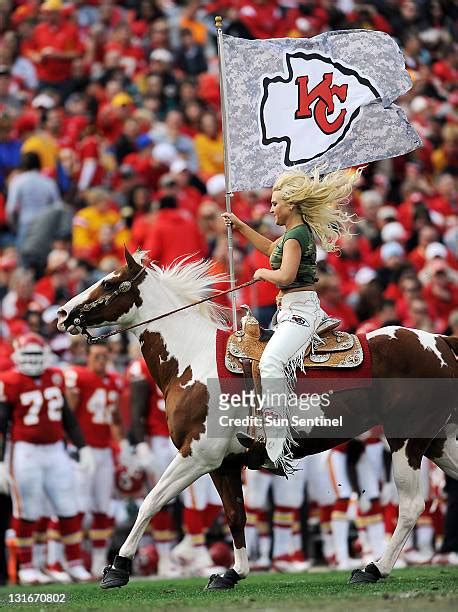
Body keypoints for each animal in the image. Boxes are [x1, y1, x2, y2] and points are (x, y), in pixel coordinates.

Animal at [57, 251, 458, 592]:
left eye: (110, 283)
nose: (62, 313)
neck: (191, 358)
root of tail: (440, 340)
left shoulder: (196, 456)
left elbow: (150, 502)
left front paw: (117, 568)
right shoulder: (224, 464)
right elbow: (236, 515)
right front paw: (232, 573)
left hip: (407, 441)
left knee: (410, 507)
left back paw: (373, 568)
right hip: (439, 442)